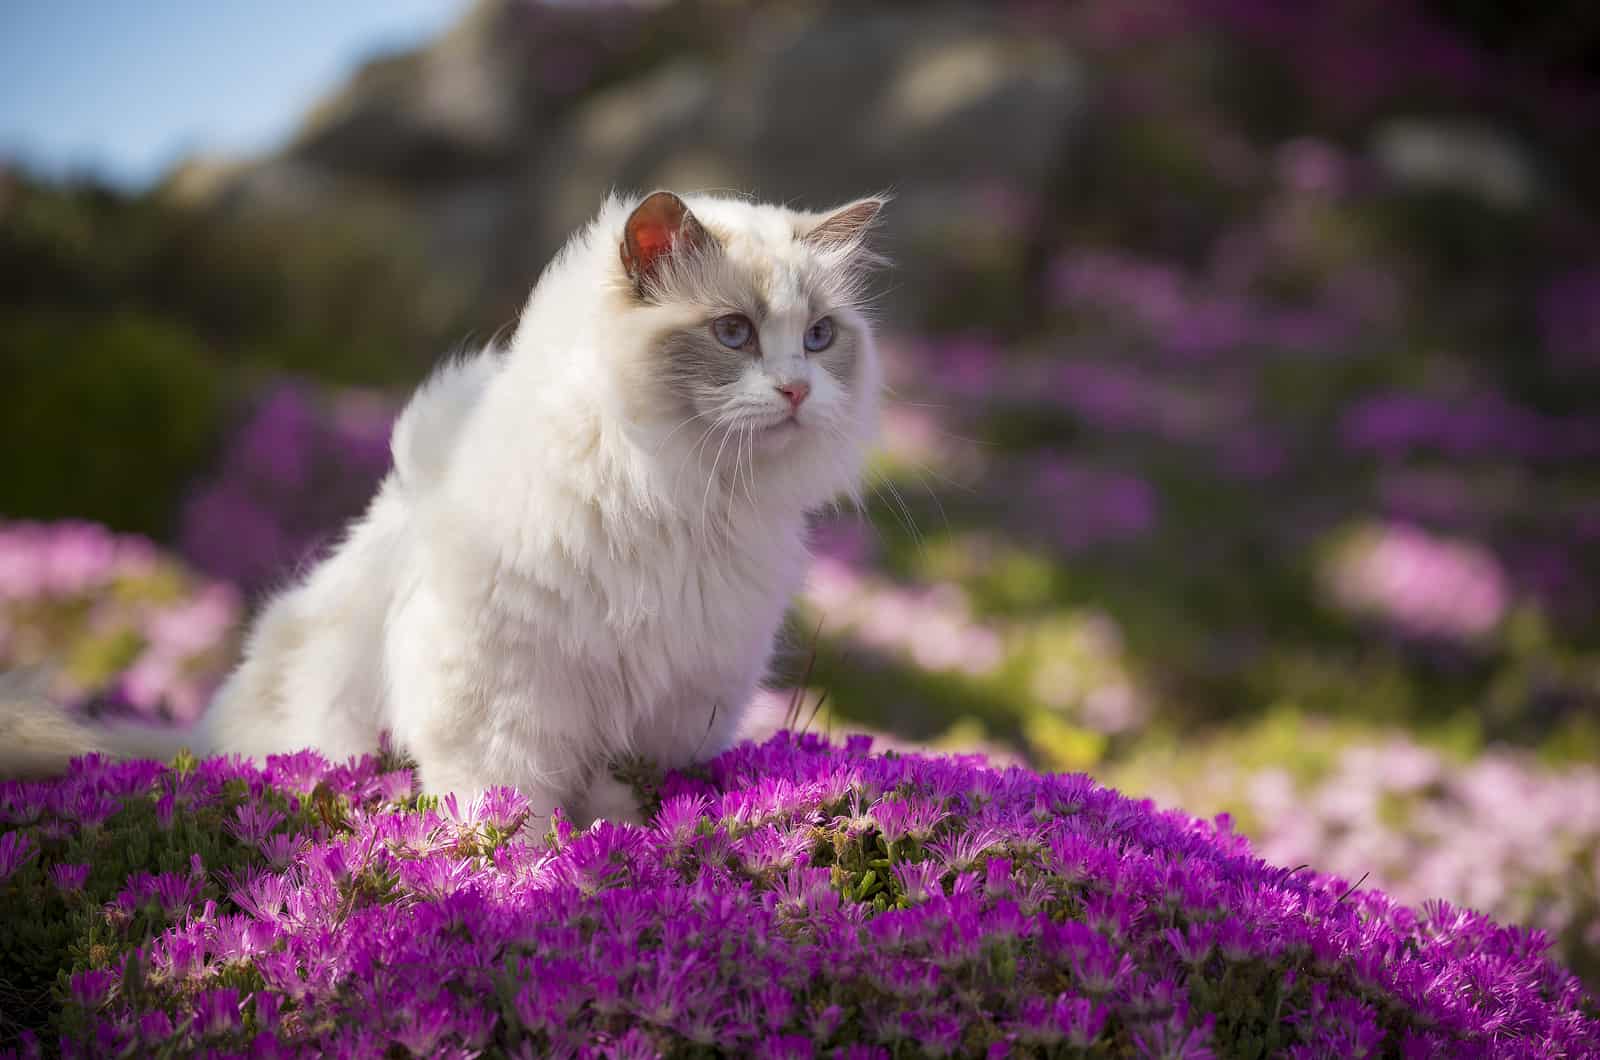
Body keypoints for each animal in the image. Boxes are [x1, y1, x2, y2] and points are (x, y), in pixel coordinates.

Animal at [0, 192, 889, 832]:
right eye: (734, 334)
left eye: (819, 337)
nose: (797, 390)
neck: (679, 495)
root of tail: (201, 740)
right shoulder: (504, 700)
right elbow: (512, 810)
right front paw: (541, 878)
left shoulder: (668, 704)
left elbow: (615, 800)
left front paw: (621, 852)